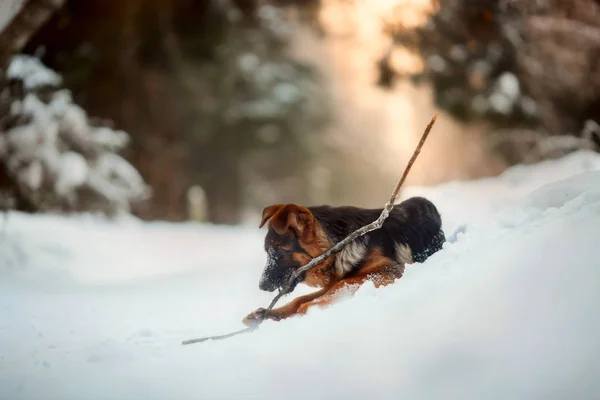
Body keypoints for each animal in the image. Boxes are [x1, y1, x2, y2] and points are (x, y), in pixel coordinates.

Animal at [241, 196, 442, 324]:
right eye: (267, 252)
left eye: (279, 252)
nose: (262, 285)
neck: (339, 246)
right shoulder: (333, 280)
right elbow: (300, 299)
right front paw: (267, 314)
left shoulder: (388, 269)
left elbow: (342, 285)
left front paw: (307, 309)